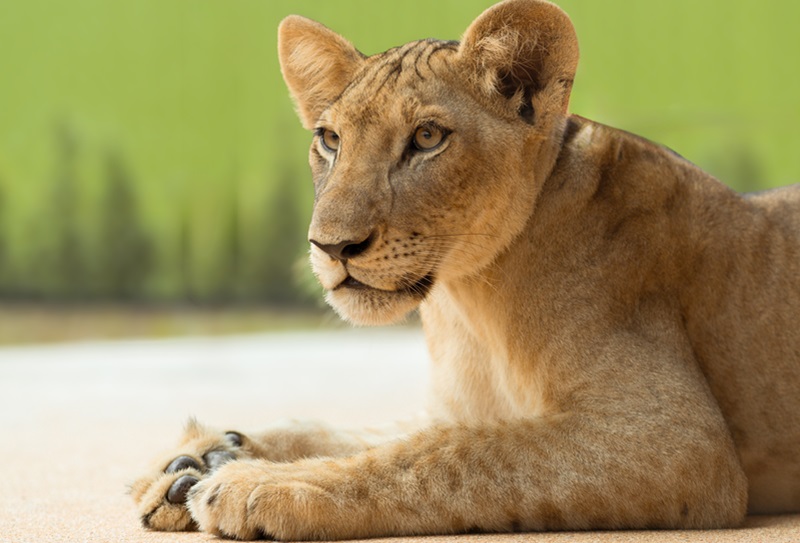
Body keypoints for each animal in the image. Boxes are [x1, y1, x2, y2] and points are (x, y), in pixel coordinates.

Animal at [130, 0, 800, 539]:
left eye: (427, 137)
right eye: (329, 139)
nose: (330, 246)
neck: (467, 299)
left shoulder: (675, 442)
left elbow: (447, 455)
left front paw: (255, 484)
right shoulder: (452, 405)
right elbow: (371, 432)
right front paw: (195, 462)